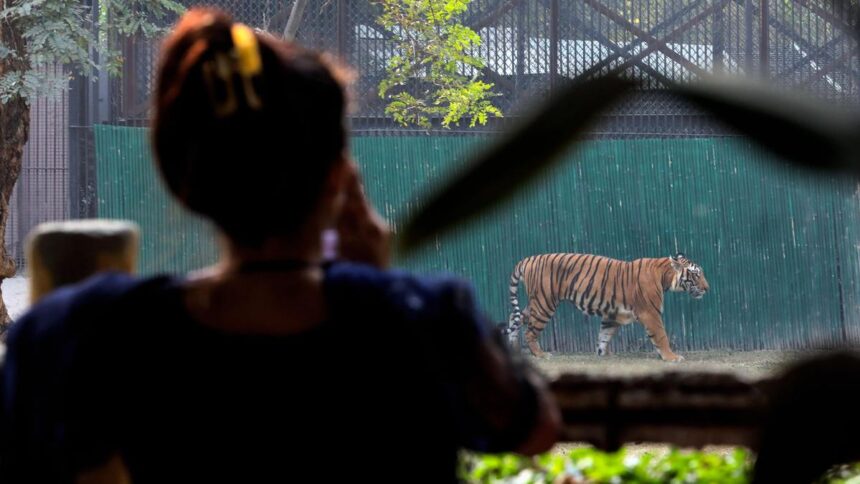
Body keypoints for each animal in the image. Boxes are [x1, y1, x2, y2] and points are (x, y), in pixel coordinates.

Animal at [504, 253, 708, 362]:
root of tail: (529, 258)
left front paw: (603, 353)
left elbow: (604, 335)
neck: (664, 275)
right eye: (696, 274)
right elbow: (661, 336)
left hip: (537, 302)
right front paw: (671, 357)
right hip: (544, 303)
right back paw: (540, 354)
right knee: (530, 331)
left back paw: (512, 348)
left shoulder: (612, 314)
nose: (707, 289)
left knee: (515, 318)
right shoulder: (651, 313)